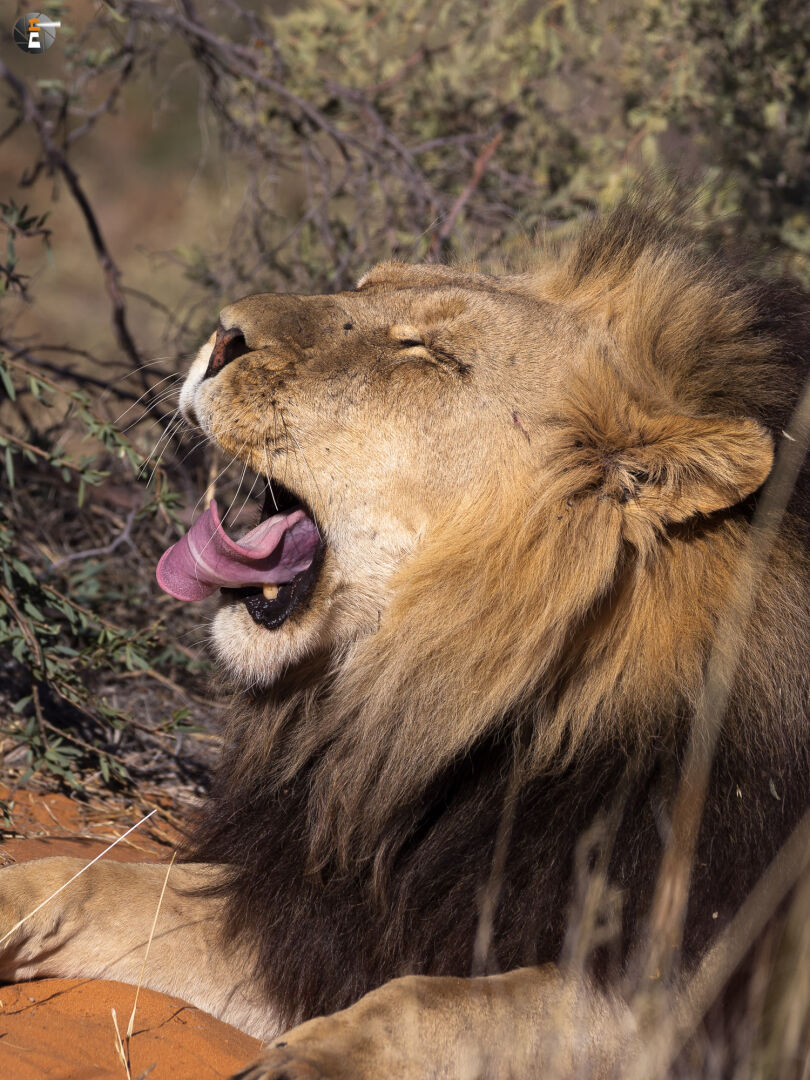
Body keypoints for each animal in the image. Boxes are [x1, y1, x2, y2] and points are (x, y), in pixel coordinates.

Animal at [1, 198, 809, 1079]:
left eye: (429, 354)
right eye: (364, 287)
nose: (222, 335)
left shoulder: (680, 1006)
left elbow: (429, 1002)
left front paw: (301, 1064)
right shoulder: (315, 914)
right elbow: (93, 883)